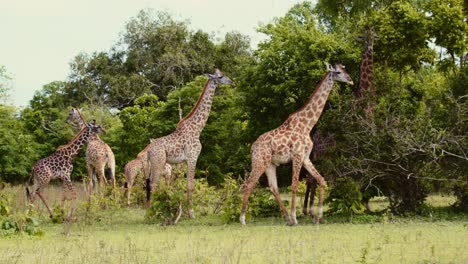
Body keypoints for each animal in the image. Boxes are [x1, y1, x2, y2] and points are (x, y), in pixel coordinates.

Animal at [146, 69, 234, 218]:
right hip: (159, 162)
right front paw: (192, 213)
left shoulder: (184, 161)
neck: (198, 128)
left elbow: (183, 185)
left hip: (155, 164)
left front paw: (184, 212)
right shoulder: (193, 157)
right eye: (221, 76)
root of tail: (148, 151)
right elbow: (190, 185)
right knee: (153, 184)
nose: (232, 82)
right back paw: (150, 213)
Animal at [239, 63, 352, 225]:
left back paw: (286, 218)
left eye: (344, 69)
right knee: (249, 184)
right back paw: (243, 219)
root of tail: (253, 148)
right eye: (338, 72)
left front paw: (319, 217)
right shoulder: (297, 156)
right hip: (260, 161)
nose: (350, 80)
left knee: (273, 187)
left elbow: (321, 180)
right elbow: (294, 184)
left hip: (270, 164)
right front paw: (296, 217)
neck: (307, 125)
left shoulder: (305, 157)